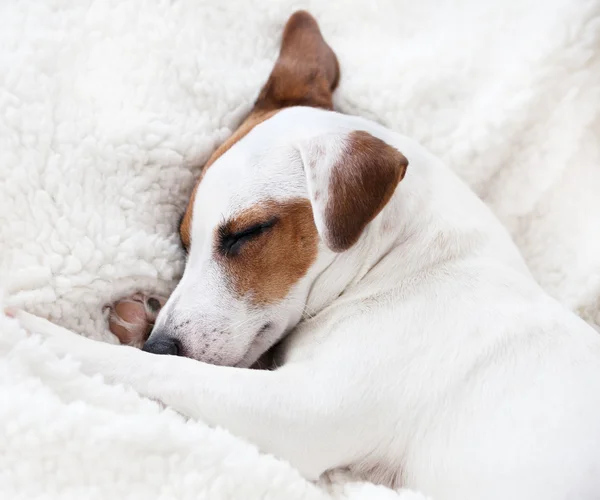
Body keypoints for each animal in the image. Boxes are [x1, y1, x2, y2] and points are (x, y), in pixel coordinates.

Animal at [11, 11, 600, 500]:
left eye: (247, 233)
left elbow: (154, 372)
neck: (405, 262)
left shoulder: (291, 414)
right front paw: (140, 319)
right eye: (183, 240)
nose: (161, 341)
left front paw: (39, 334)